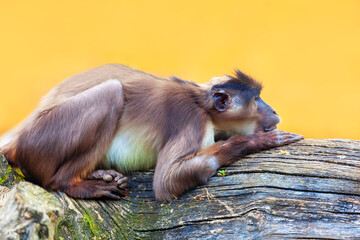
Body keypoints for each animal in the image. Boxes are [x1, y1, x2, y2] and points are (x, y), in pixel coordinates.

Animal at [0, 64, 304, 202]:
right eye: (257, 99)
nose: (273, 109)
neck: (202, 104)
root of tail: (16, 136)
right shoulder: (192, 119)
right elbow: (166, 184)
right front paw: (258, 141)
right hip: (39, 141)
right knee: (112, 92)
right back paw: (70, 183)